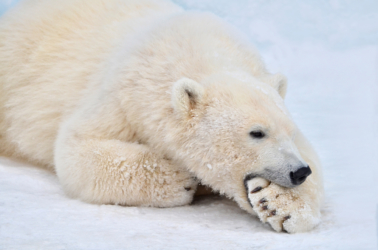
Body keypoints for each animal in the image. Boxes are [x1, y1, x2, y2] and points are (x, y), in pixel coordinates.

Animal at [0, 0, 324, 232]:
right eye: (256, 132)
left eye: (289, 131)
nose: (298, 172)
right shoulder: (125, 95)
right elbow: (77, 147)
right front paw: (180, 179)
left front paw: (279, 204)